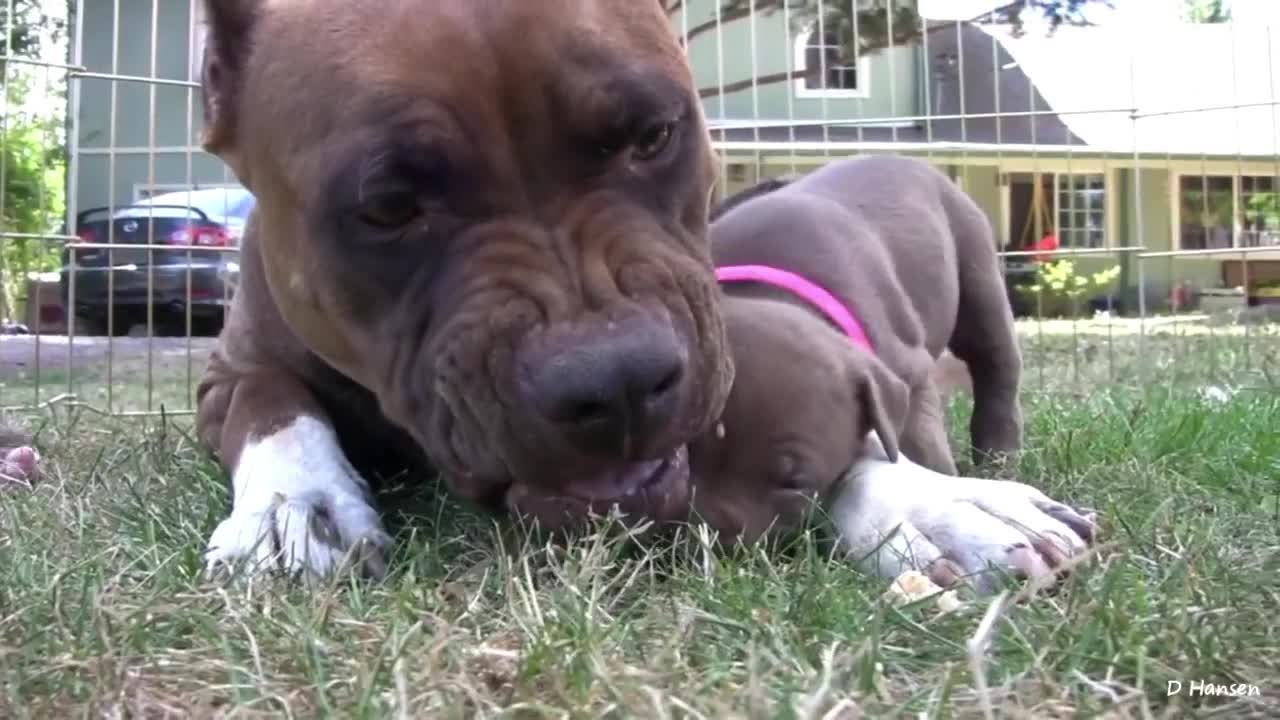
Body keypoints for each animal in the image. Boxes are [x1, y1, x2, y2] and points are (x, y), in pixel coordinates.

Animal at [193, 1, 737, 576]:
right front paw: (296, 504)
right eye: (388, 208)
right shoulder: (230, 372)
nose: (619, 382)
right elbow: (269, 402)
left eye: (653, 136)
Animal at [686, 156, 1095, 589]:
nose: (710, 545)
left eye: (795, 484)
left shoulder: (909, 379)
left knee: (997, 370)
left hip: (977, 275)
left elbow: (917, 451)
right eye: (681, 455)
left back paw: (997, 456)